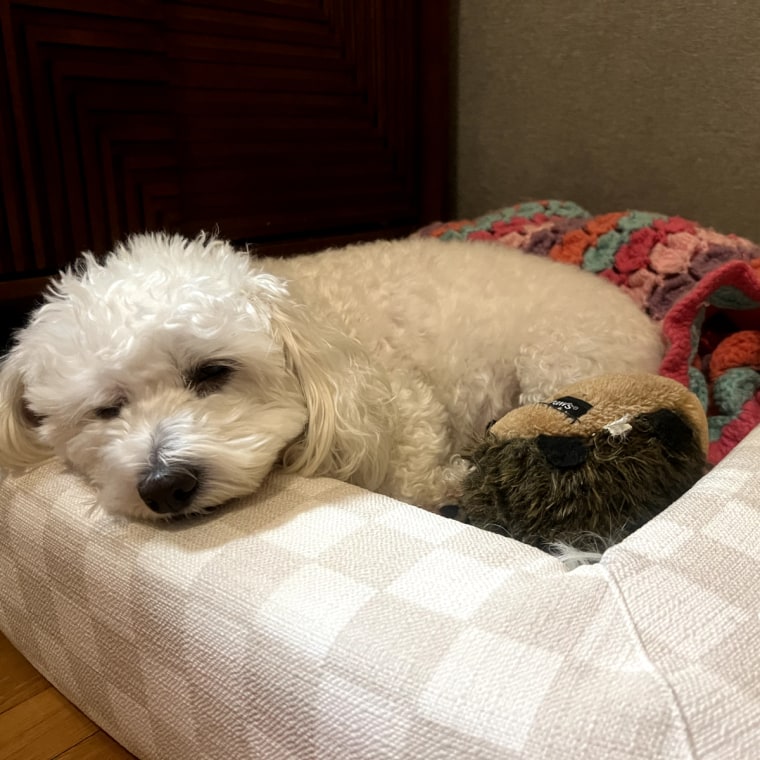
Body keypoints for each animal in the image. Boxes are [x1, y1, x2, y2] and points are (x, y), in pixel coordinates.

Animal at [0, 235, 664, 520]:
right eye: (105, 409)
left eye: (213, 372)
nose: (164, 488)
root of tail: (646, 323)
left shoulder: (404, 410)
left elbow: (419, 479)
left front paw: (458, 481)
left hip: (557, 368)